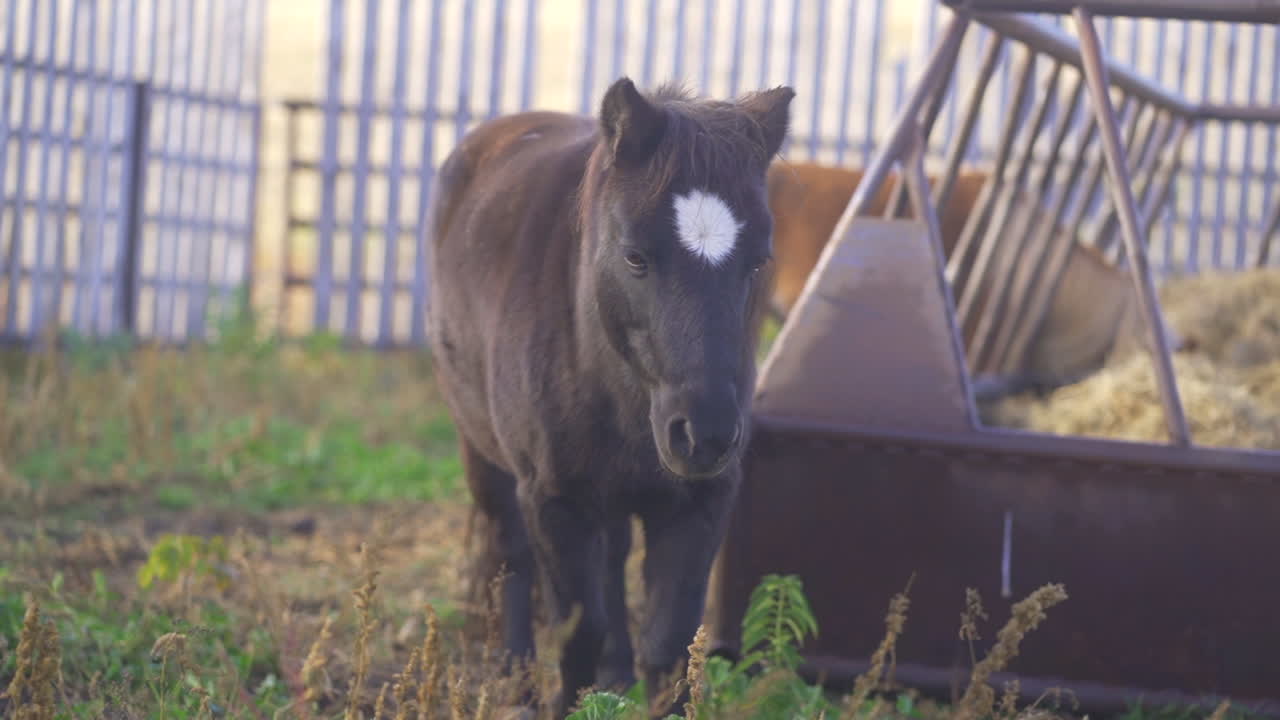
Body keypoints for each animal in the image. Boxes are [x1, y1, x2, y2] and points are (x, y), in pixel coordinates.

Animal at [425, 77, 794, 718]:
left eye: (757, 262)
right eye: (636, 257)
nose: (705, 435)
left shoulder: (699, 503)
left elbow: (669, 646)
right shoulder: (555, 501)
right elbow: (579, 633)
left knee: (615, 557)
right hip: (483, 452)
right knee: (510, 555)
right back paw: (517, 683)